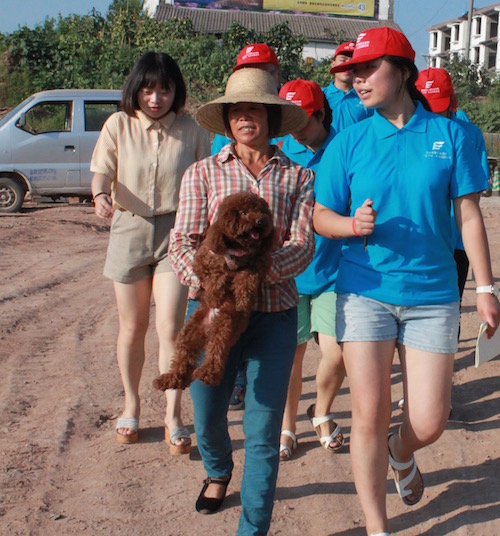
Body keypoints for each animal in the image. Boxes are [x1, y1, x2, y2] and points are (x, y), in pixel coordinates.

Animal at [154, 193, 276, 390]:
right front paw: (215, 294)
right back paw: (171, 379)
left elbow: (246, 276)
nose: (260, 221)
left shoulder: (260, 263)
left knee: (215, 352)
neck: (239, 249)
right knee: (183, 357)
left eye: (262, 211)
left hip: (224, 325)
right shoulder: (203, 259)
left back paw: (206, 374)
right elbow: (215, 274)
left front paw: (242, 298)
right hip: (189, 331)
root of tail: (208, 327)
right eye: (243, 212)